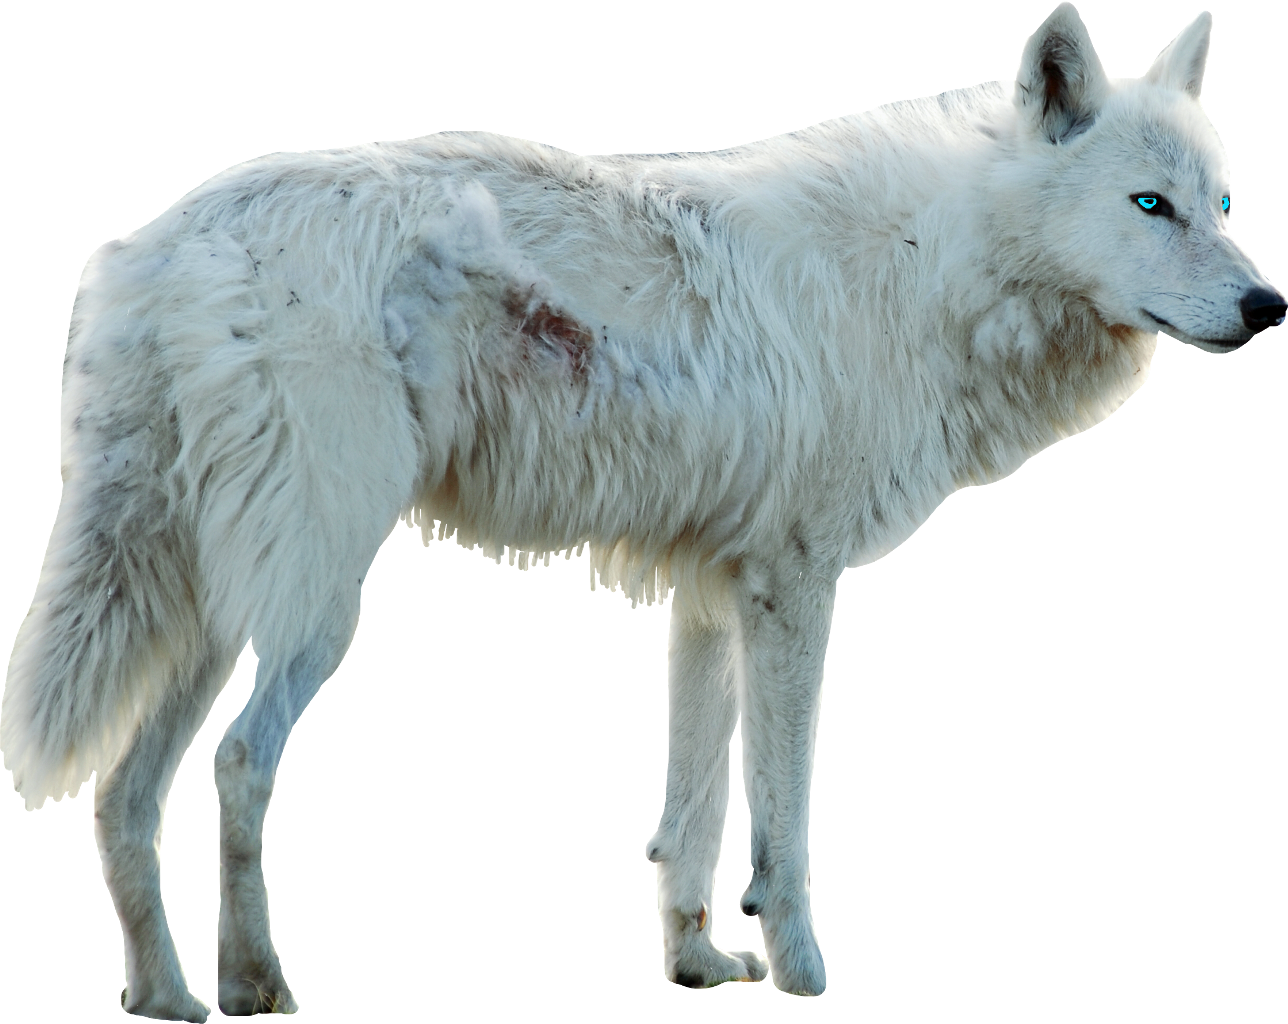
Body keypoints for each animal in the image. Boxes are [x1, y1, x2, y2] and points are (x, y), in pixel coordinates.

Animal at [1, 2, 1281, 1015]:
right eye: (1150, 205)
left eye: (1220, 204)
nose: (1269, 308)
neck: (925, 266)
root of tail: (160, 241)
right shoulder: (793, 590)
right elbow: (779, 820)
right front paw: (807, 976)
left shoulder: (711, 593)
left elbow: (691, 816)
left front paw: (699, 965)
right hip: (316, 609)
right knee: (235, 765)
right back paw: (259, 986)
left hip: (213, 612)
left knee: (124, 792)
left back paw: (165, 999)